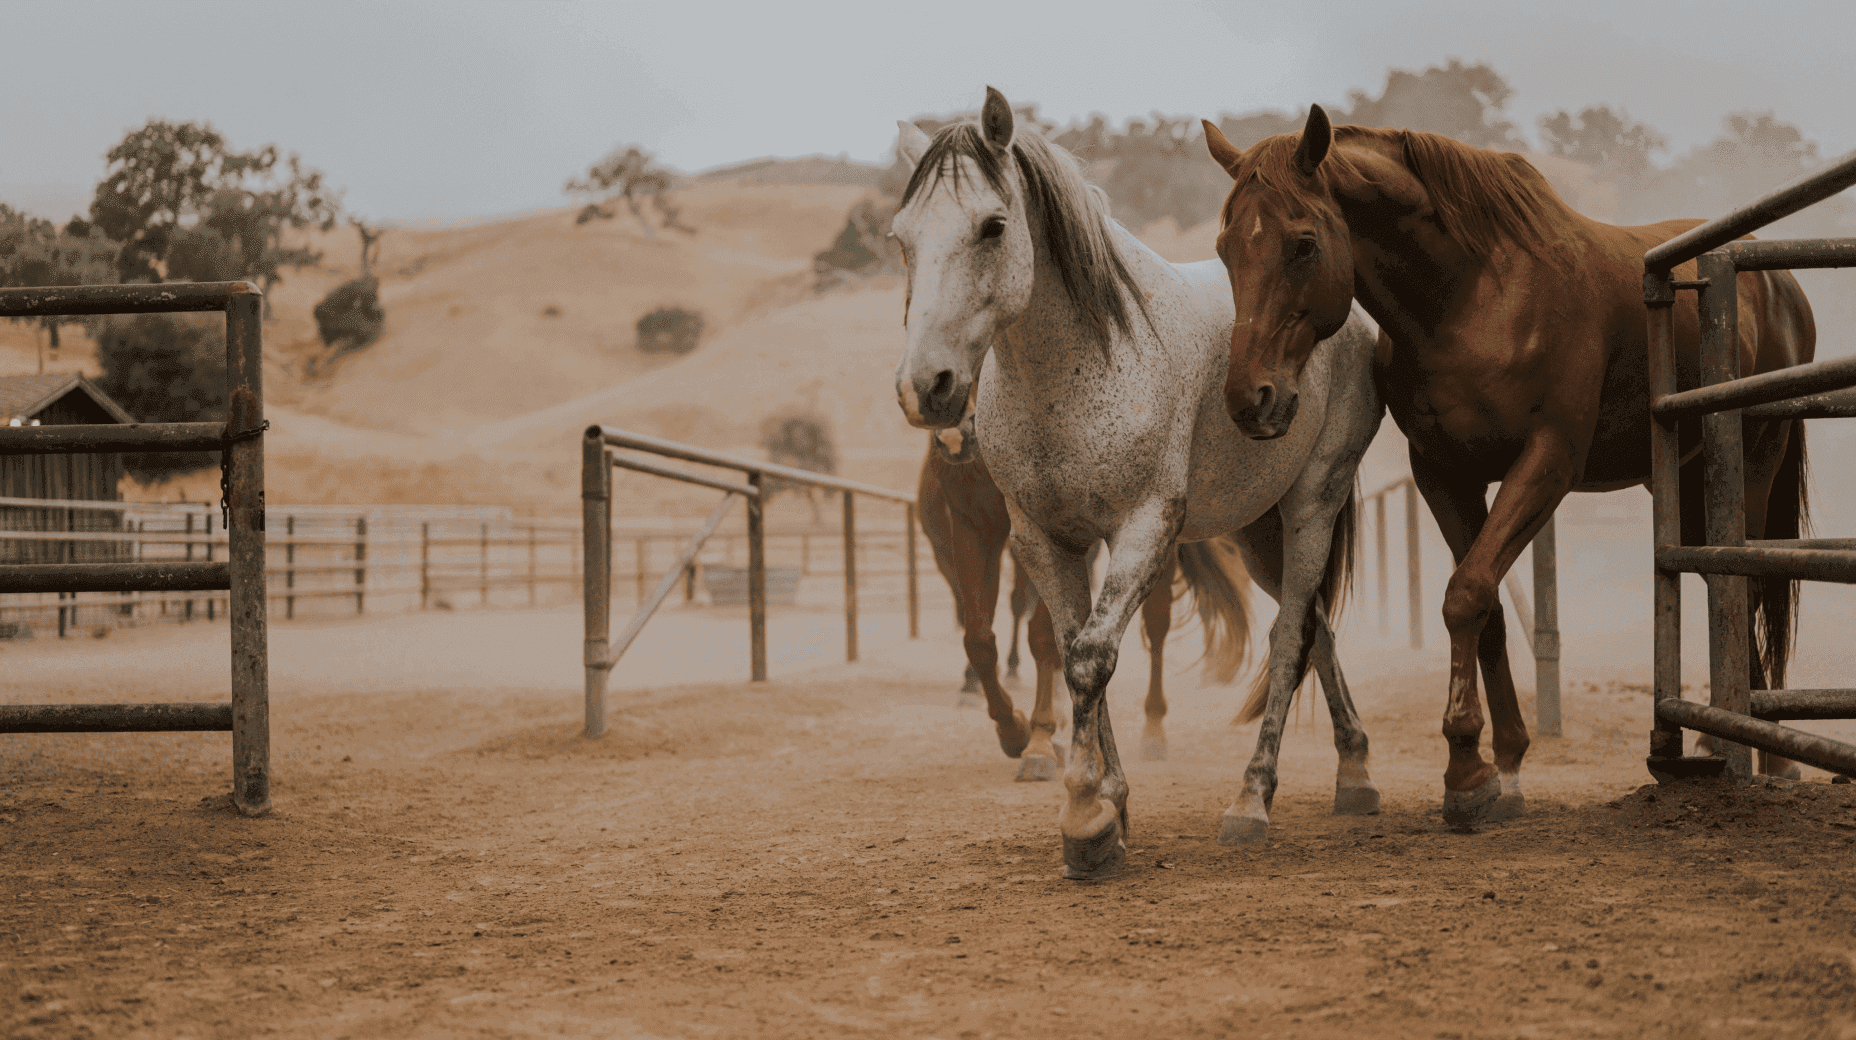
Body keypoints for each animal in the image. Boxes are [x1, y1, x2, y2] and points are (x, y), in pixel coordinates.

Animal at [913, 414, 1247, 780]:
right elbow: (978, 640)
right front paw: (1014, 731)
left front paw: (1041, 741)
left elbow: (1043, 637)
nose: (954, 435)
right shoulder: (971, 524)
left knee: (1157, 623)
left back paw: (1152, 729)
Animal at [1202, 103, 1811, 820]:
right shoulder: (1444, 476)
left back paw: (1771, 756)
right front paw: (1502, 766)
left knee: (1749, 583)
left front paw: (1465, 769)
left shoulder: (1546, 463)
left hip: (1755, 462)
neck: (1472, 296)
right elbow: (1484, 604)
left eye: (1302, 243)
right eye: (1226, 248)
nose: (1251, 399)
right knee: (1721, 583)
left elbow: (1466, 593)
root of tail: (1778, 283)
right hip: (1682, 481)